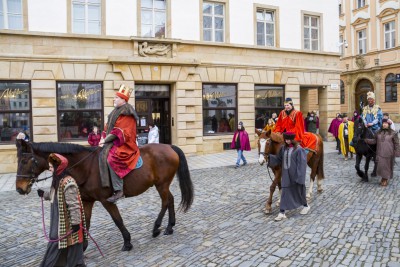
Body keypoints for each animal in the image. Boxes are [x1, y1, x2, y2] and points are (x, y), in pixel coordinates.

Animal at [16, 139, 195, 252]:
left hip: (161, 185)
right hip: (162, 185)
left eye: (25, 161)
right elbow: (86, 222)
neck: (85, 166)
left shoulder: (106, 200)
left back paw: (157, 227)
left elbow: (117, 220)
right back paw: (169, 226)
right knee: (170, 200)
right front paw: (83, 247)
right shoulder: (87, 200)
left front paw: (127, 242)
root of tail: (169, 146)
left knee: (165, 201)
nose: (19, 188)